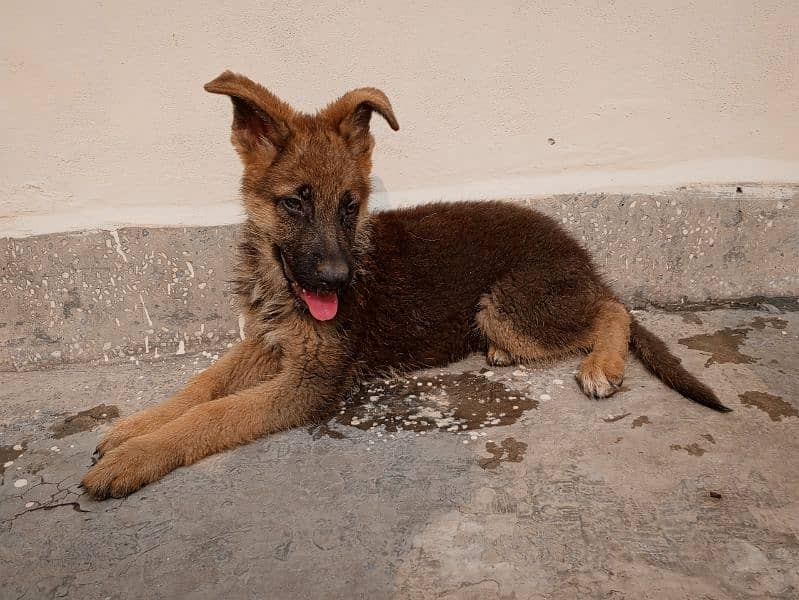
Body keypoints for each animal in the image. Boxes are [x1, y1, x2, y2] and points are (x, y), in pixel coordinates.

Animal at [83, 70, 732, 500]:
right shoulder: (271, 344)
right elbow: (202, 386)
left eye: (350, 206)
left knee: (612, 310)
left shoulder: (308, 382)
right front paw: (134, 428)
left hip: (507, 305)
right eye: (296, 202)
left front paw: (138, 456)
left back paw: (602, 365)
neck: (281, 280)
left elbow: (214, 416)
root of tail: (581, 257)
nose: (339, 281)